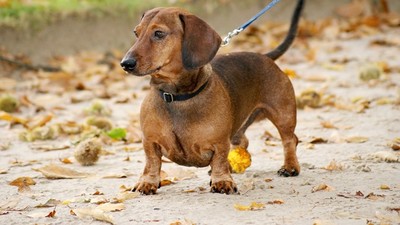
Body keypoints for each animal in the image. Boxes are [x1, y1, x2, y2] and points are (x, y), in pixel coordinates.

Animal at [120, 0, 304, 194]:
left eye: (159, 33)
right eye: (136, 33)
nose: (125, 64)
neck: (176, 96)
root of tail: (265, 56)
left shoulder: (220, 142)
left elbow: (220, 160)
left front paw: (222, 180)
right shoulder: (150, 141)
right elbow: (152, 162)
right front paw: (147, 182)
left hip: (283, 114)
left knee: (290, 139)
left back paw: (290, 166)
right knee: (243, 141)